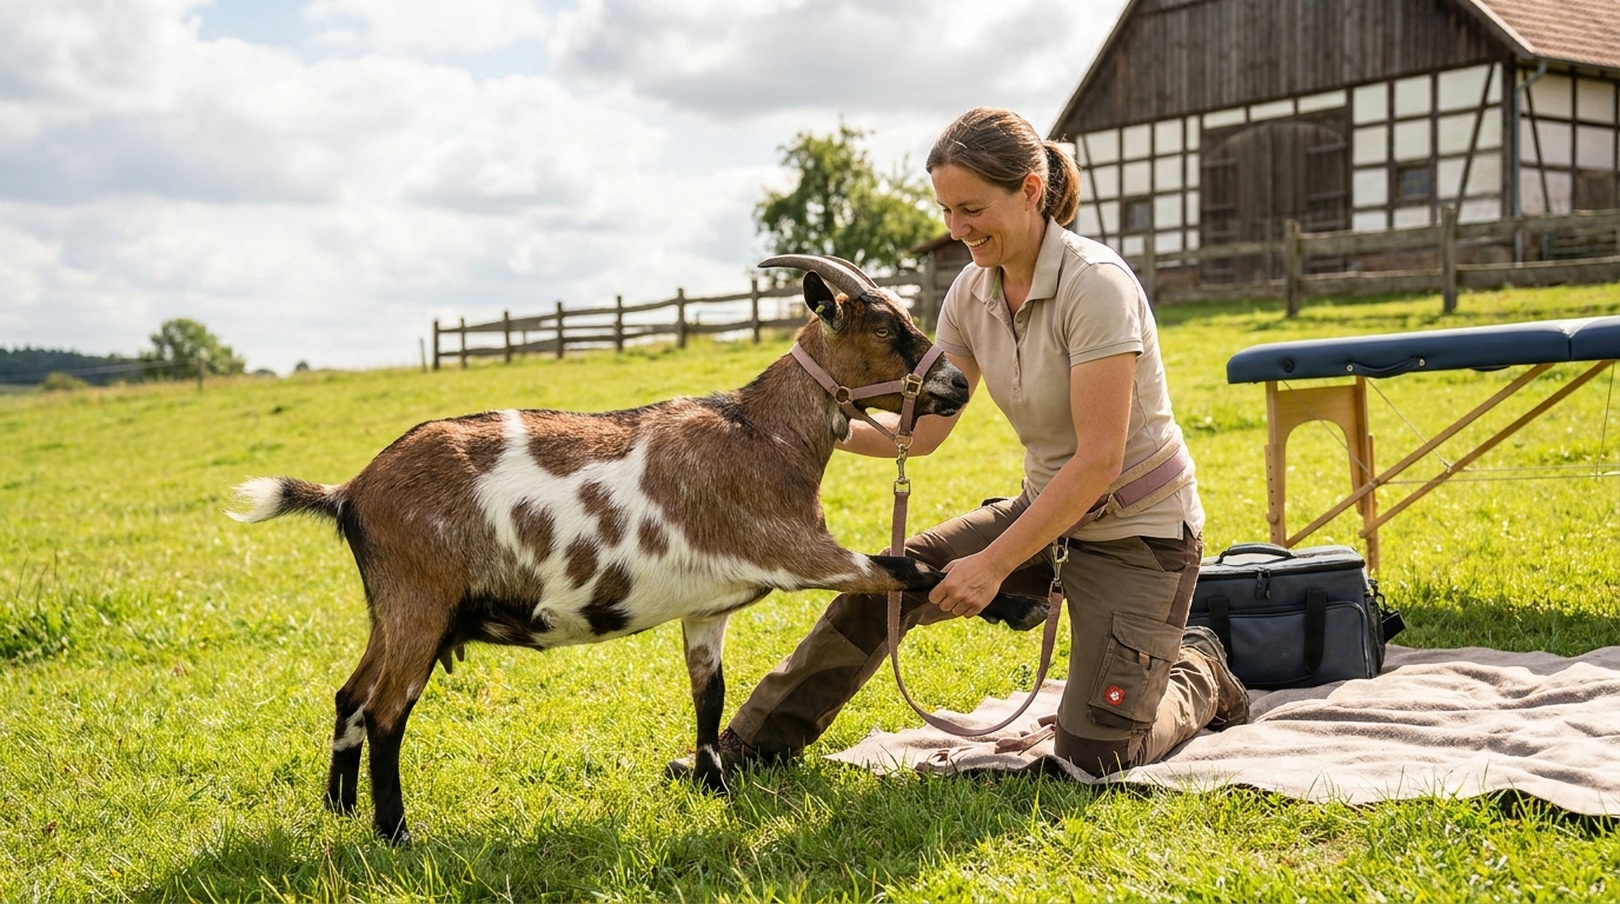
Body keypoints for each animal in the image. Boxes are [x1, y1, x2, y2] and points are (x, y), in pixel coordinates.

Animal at [229, 255, 1046, 842]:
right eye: (883, 328)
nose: (956, 385)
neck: (763, 434)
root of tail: (351, 492)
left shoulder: (708, 606)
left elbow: (708, 692)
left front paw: (712, 783)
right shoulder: (802, 552)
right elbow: (907, 569)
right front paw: (1015, 602)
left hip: (393, 609)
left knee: (350, 694)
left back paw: (338, 811)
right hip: (421, 601)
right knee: (387, 709)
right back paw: (395, 832)